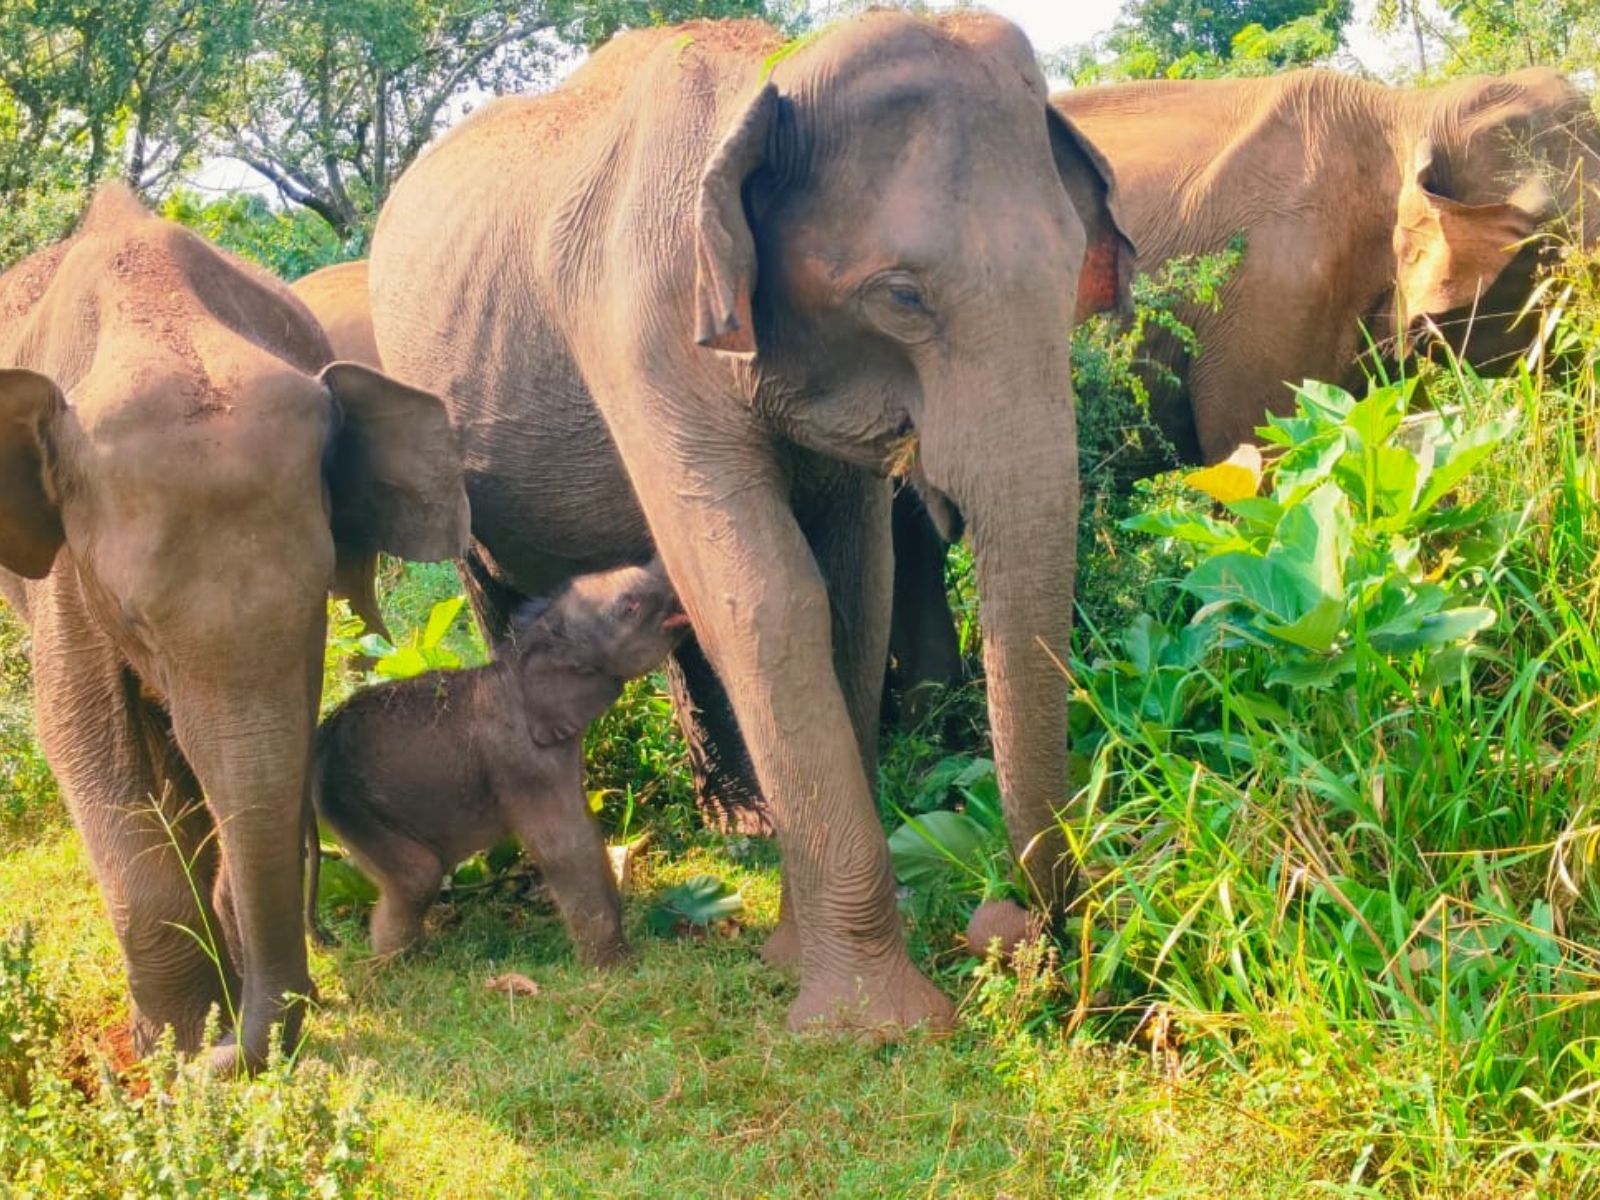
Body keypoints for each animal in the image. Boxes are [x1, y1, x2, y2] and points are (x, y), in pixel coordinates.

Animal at [0, 185, 469, 1070]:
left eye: (315, 594)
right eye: (135, 619)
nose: (231, 1055)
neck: (154, 314)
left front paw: (195, 1041)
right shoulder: (69, 574)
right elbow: (80, 735)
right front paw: (176, 1052)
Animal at [309, 558, 688, 959]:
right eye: (630, 607)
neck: (520, 658)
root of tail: (319, 739)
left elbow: (586, 827)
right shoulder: (521, 764)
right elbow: (565, 846)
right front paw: (616, 964)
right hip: (352, 809)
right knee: (419, 877)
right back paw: (402, 964)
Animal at [369, 12, 1131, 1033]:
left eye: (1069, 273)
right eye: (902, 297)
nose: (1010, 925)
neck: (772, 76)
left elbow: (853, 594)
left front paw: (792, 957)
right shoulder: (641, 333)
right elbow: (765, 596)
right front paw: (873, 1025)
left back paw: (741, 827)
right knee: (499, 595)